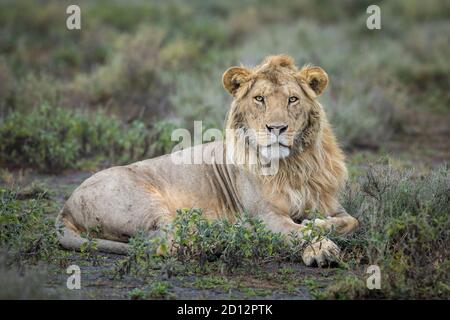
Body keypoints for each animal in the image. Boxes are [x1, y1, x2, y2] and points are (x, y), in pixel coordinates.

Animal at [56, 55, 358, 268]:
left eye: (293, 99)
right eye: (259, 99)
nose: (276, 128)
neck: (293, 165)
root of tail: (66, 206)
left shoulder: (332, 204)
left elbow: (350, 221)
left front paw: (317, 226)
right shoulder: (265, 215)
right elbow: (295, 231)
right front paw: (321, 249)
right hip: (144, 202)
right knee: (166, 241)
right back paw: (225, 236)